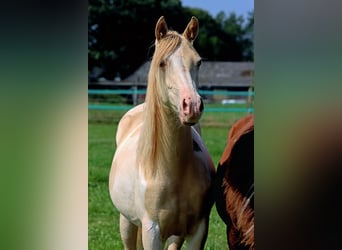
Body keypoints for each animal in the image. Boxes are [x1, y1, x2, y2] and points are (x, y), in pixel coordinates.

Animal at [108, 16, 215, 249]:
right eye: (162, 63)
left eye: (198, 62)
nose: (192, 106)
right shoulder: (151, 230)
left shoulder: (198, 230)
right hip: (126, 222)